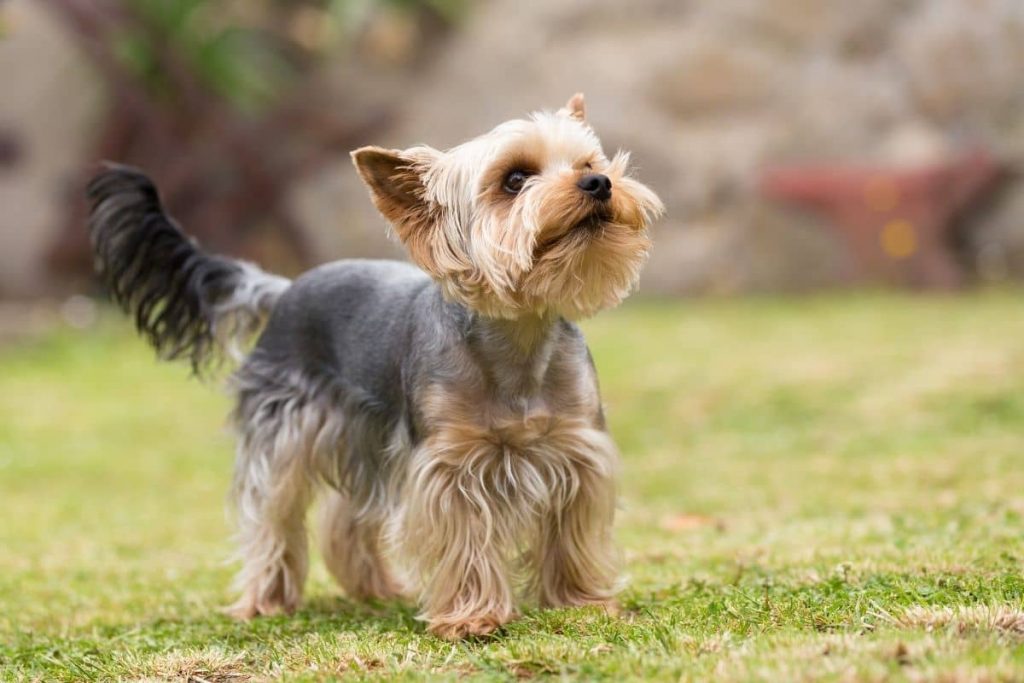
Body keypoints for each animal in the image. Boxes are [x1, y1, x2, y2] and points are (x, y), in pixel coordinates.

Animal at [88, 93, 663, 638]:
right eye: (515, 180)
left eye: (588, 161)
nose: (599, 182)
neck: (519, 334)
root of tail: (284, 287)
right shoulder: (448, 466)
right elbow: (464, 541)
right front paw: (471, 618)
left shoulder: (576, 450)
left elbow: (571, 534)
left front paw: (580, 602)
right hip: (285, 433)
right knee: (273, 516)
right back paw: (266, 599)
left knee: (346, 516)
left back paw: (373, 587)